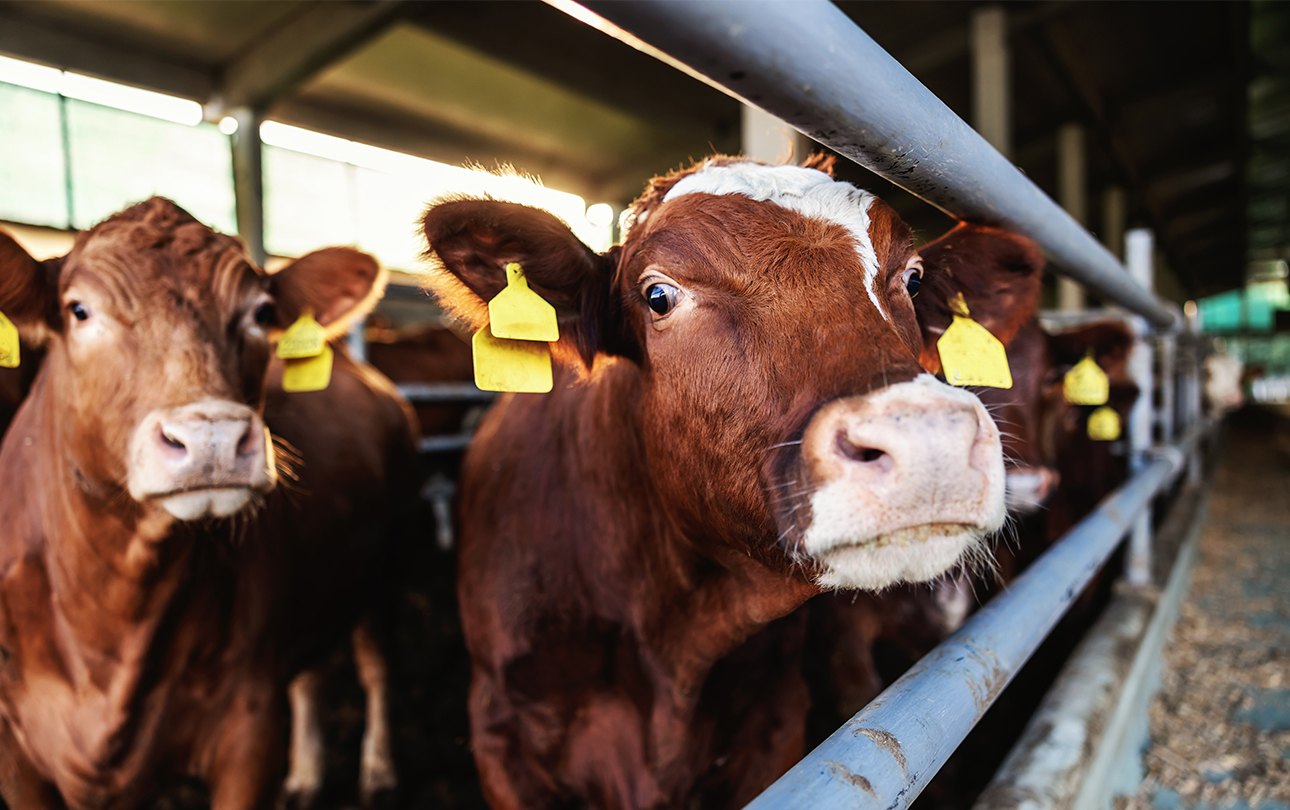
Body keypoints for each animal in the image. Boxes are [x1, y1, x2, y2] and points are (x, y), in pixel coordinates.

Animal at [0, 199, 417, 810]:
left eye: (262, 313)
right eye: (78, 310)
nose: (212, 437)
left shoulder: (249, 726)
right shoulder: (17, 758)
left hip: (387, 563)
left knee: (376, 665)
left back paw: (380, 771)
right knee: (311, 673)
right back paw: (307, 775)